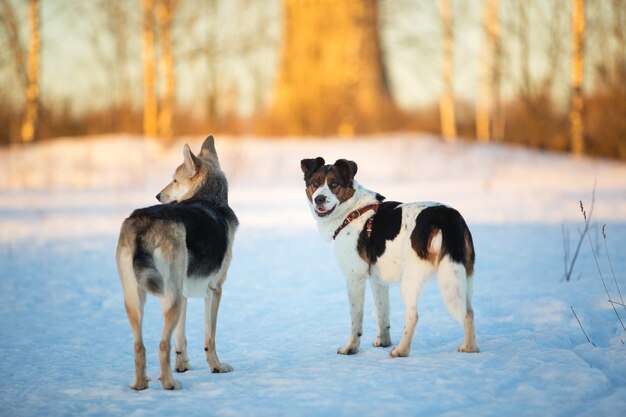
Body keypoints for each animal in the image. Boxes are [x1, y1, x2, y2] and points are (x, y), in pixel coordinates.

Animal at [115, 135, 236, 388]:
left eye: (174, 180)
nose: (157, 196)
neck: (208, 198)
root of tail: (145, 224)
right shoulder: (215, 290)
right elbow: (210, 337)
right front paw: (217, 367)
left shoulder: (185, 293)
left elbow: (181, 339)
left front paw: (183, 366)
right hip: (170, 297)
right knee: (162, 345)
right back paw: (170, 385)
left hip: (137, 298)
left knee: (139, 346)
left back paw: (141, 385)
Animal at [300, 158, 476, 356]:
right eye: (315, 183)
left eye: (334, 184)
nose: (319, 199)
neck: (352, 211)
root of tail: (445, 217)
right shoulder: (378, 280)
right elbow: (382, 313)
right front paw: (383, 341)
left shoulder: (355, 277)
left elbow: (356, 319)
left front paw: (351, 347)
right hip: (463, 276)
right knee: (468, 312)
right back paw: (469, 348)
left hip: (410, 279)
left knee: (413, 315)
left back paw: (401, 351)